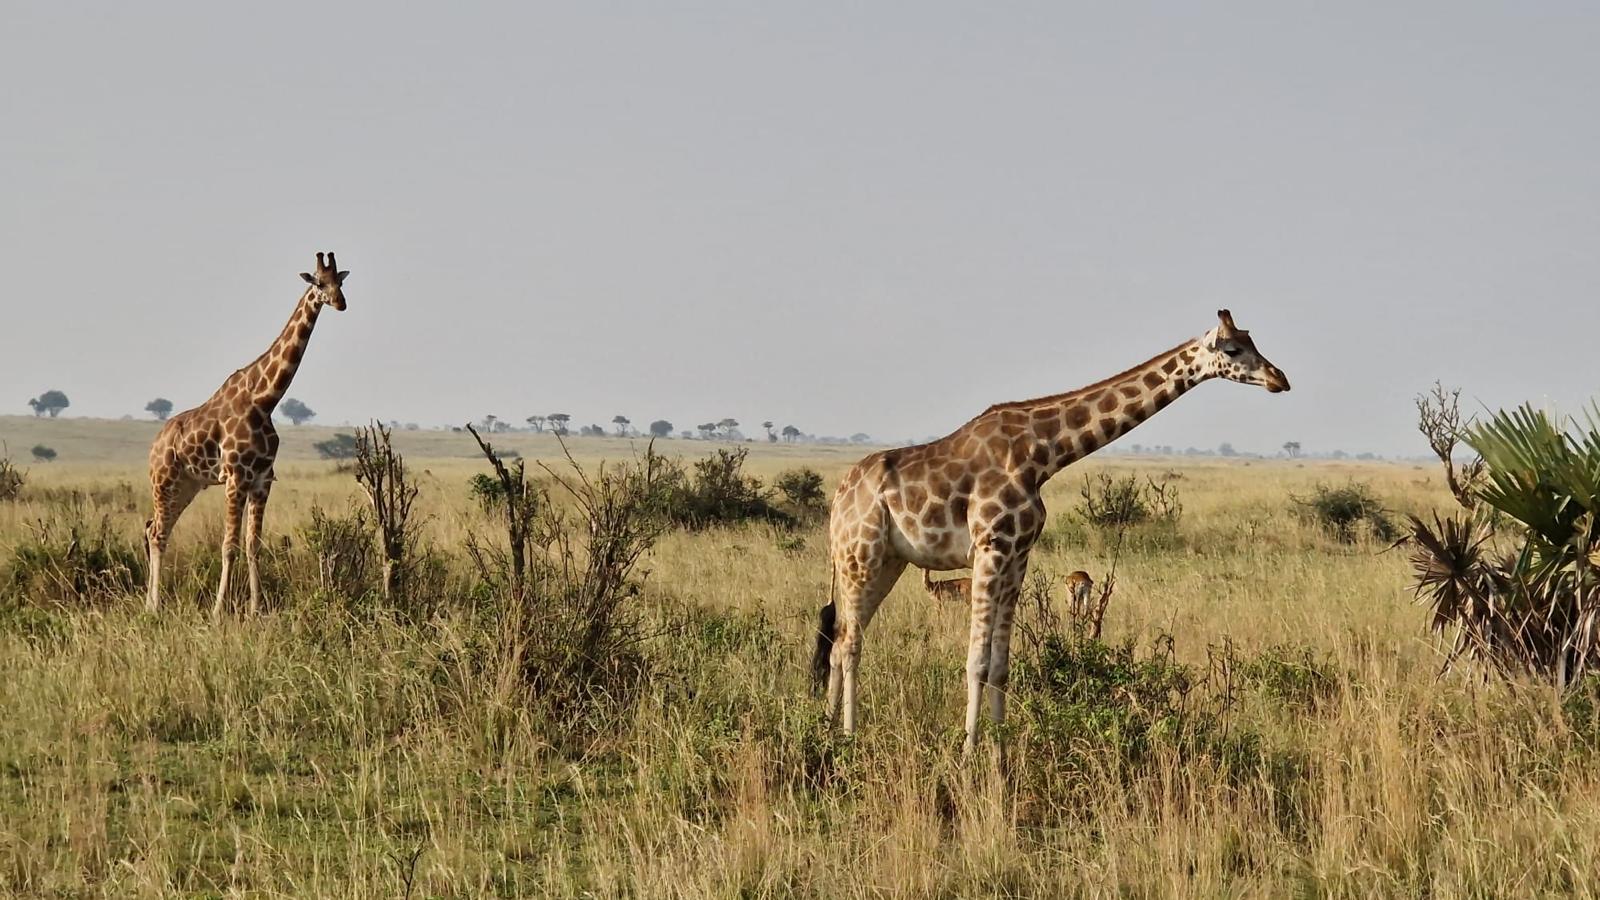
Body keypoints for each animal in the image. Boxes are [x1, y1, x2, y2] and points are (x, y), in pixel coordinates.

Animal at [145, 251, 349, 618]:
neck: (265, 398)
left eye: (339, 282)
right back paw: (154, 607)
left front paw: (256, 609)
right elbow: (229, 546)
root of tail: (154, 445)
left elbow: (254, 544)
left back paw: (151, 603)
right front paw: (217, 612)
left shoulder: (262, 480)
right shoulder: (236, 478)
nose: (340, 303)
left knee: (154, 528)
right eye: (318, 282)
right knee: (157, 534)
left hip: (187, 485)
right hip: (164, 482)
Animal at [812, 310, 1289, 751]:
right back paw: (849, 736)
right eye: (1233, 349)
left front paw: (1000, 749)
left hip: (887, 563)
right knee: (849, 642)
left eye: (1253, 341)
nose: (1279, 379)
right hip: (861, 556)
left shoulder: (1018, 556)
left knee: (840, 638)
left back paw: (828, 728)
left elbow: (1000, 664)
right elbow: (975, 661)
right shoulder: (990, 549)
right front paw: (967, 751)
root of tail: (839, 500)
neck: (1041, 456)